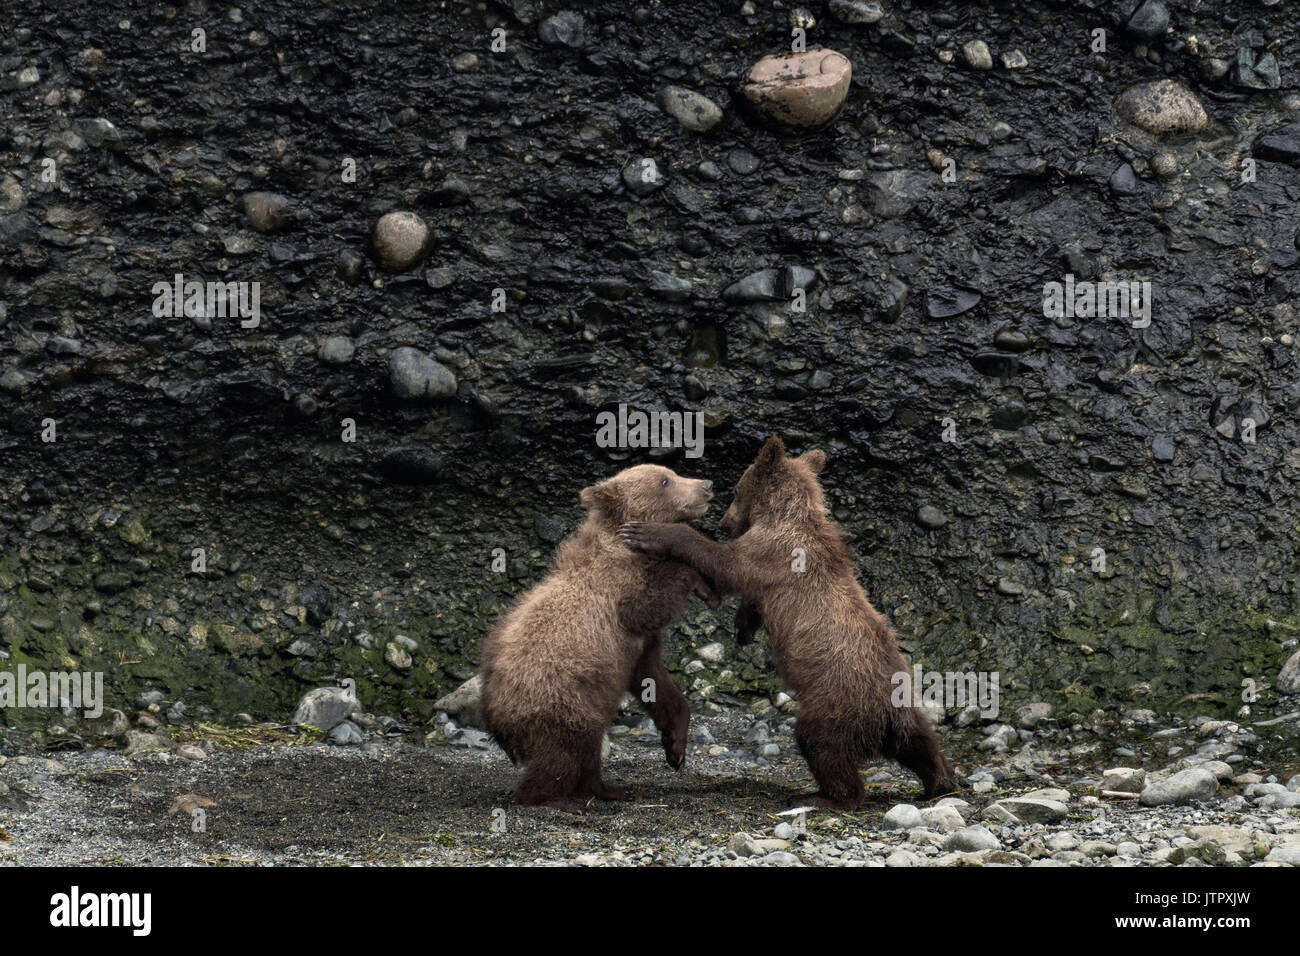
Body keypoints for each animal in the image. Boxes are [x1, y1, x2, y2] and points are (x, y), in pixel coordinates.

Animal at [624, 437, 961, 811]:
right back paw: (941, 781)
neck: (785, 515)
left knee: (820, 744)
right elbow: (751, 596)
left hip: (835, 705)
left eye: (737, 489)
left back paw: (821, 796)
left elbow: (725, 563)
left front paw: (648, 532)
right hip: (907, 710)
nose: (725, 522)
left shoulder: (773, 552)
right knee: (923, 743)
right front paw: (743, 628)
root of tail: (887, 717)